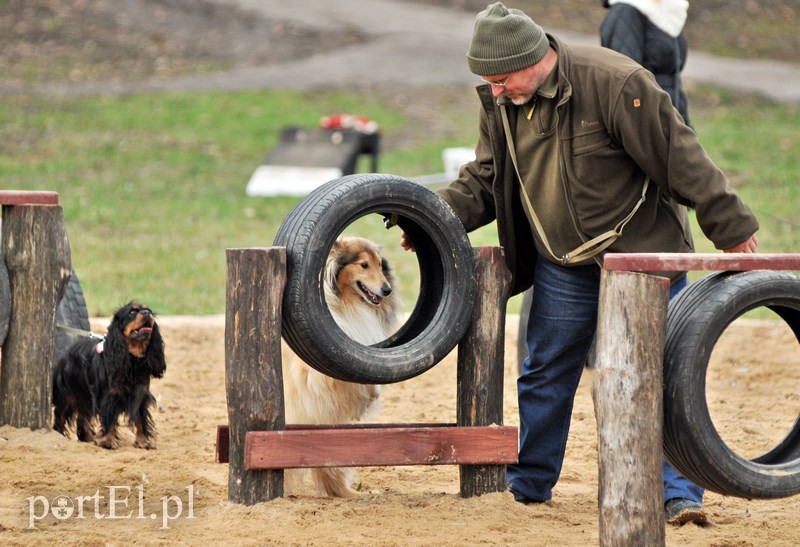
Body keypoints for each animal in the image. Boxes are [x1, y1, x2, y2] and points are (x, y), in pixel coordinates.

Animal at [284, 235, 404, 496]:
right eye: (363, 265)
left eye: (380, 264)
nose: (387, 290)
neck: (349, 303)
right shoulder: (311, 370)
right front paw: (364, 400)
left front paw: (371, 396)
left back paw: (347, 493)